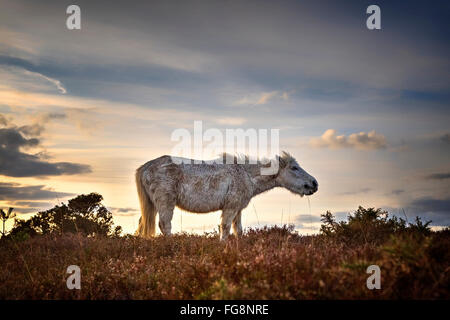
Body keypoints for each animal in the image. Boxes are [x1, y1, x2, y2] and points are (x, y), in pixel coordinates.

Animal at [135, 152, 318, 240]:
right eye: (294, 168)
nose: (314, 183)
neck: (245, 174)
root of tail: (146, 167)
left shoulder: (238, 210)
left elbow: (238, 231)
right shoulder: (230, 208)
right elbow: (225, 228)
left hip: (152, 205)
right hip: (166, 203)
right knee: (165, 225)